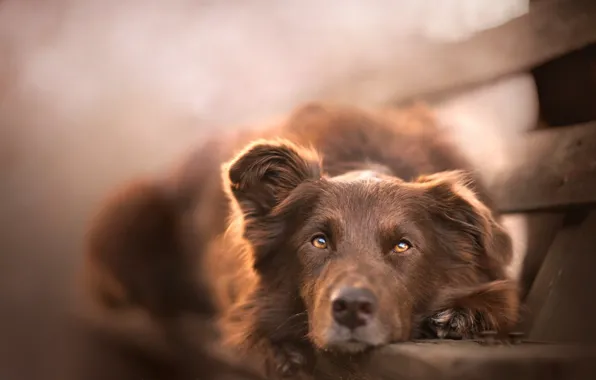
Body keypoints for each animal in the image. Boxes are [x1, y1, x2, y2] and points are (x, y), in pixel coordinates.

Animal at [82, 102, 516, 378]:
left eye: (402, 245)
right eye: (319, 241)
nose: (351, 309)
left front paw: (463, 314)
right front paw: (284, 351)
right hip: (130, 209)